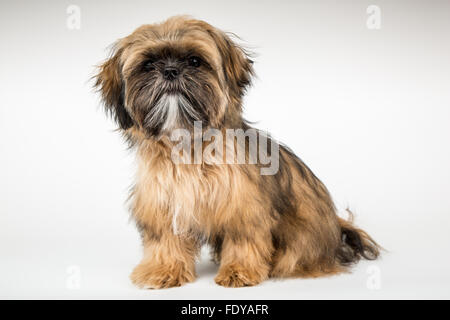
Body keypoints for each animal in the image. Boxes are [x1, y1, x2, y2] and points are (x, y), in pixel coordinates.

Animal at [95, 16, 380, 288]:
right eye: (148, 65)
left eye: (195, 61)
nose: (170, 71)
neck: (189, 145)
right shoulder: (162, 202)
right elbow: (165, 240)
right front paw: (163, 270)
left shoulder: (243, 206)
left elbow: (244, 240)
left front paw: (239, 271)